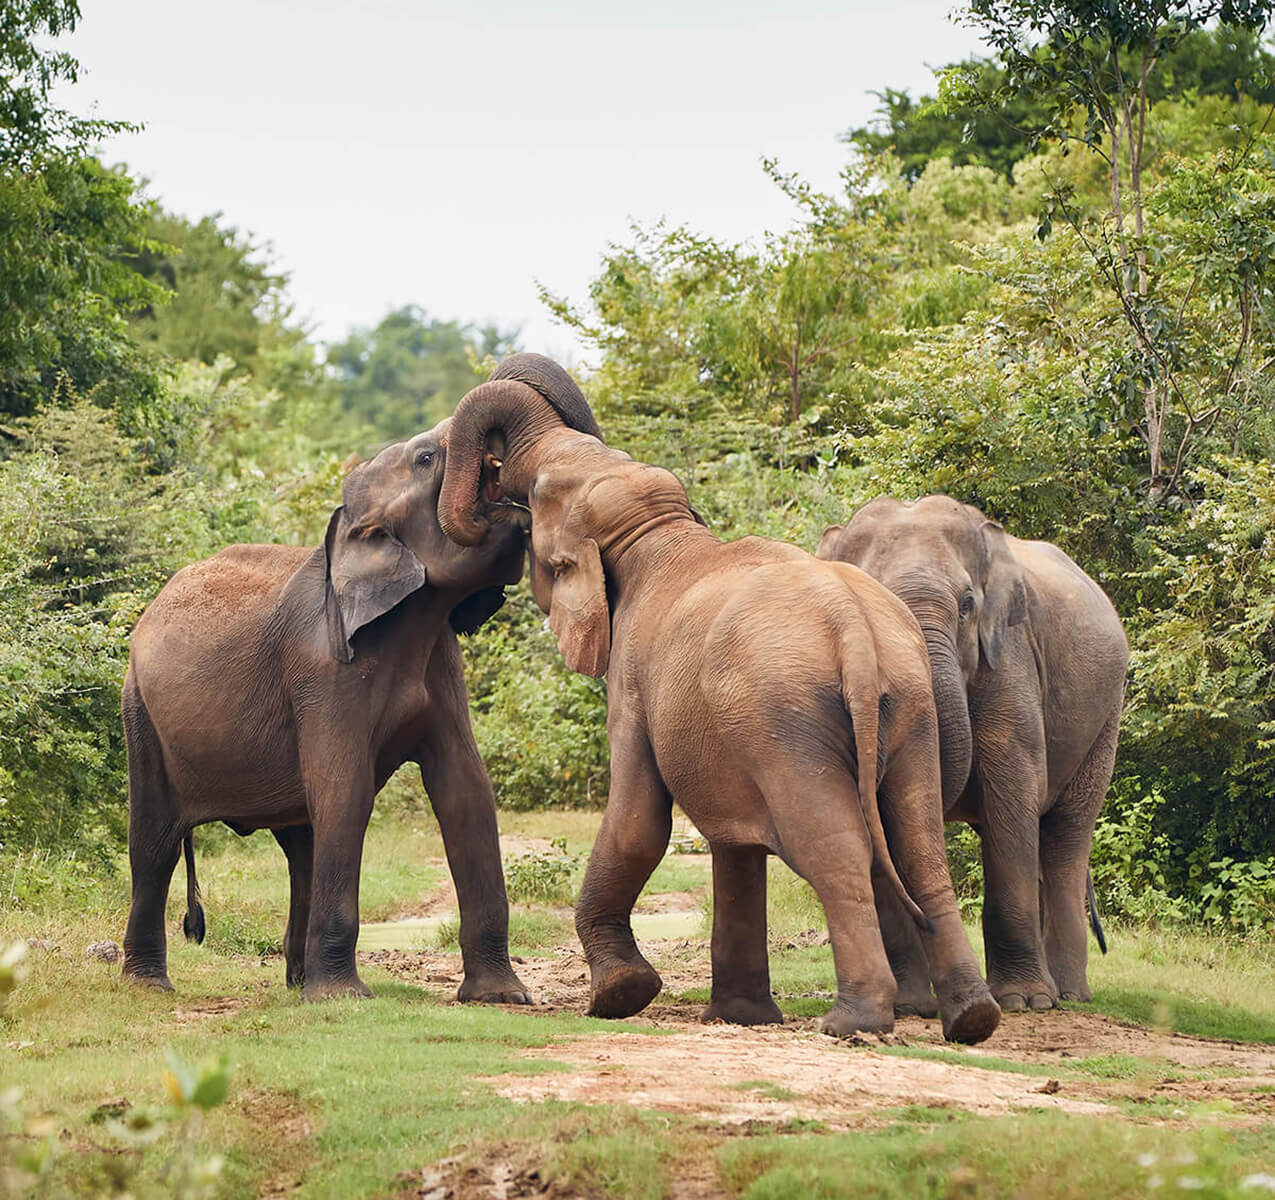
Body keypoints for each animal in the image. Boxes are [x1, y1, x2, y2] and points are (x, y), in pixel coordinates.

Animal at [120, 415, 558, 999]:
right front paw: (344, 998)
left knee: (302, 843)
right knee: (155, 842)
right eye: (425, 459)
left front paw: (500, 997)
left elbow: (466, 791)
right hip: (140, 711)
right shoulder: (324, 672)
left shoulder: (444, 666)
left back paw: (296, 984)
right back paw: (151, 987)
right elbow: (345, 790)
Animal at [438, 354, 1004, 1040]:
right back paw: (972, 1019)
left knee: (834, 847)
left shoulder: (633, 680)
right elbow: (735, 845)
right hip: (911, 709)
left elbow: (639, 821)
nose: (494, 484)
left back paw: (853, 1022)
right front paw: (739, 1018)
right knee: (920, 844)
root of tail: (853, 629)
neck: (656, 529)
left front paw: (621, 996)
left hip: (788, 723)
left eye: (541, 492)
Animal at [816, 497, 1127, 1009]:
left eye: (967, 606)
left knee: (1065, 835)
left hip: (1106, 717)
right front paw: (908, 1006)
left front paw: (1023, 1002)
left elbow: (1012, 797)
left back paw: (1066, 994)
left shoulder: (1009, 663)